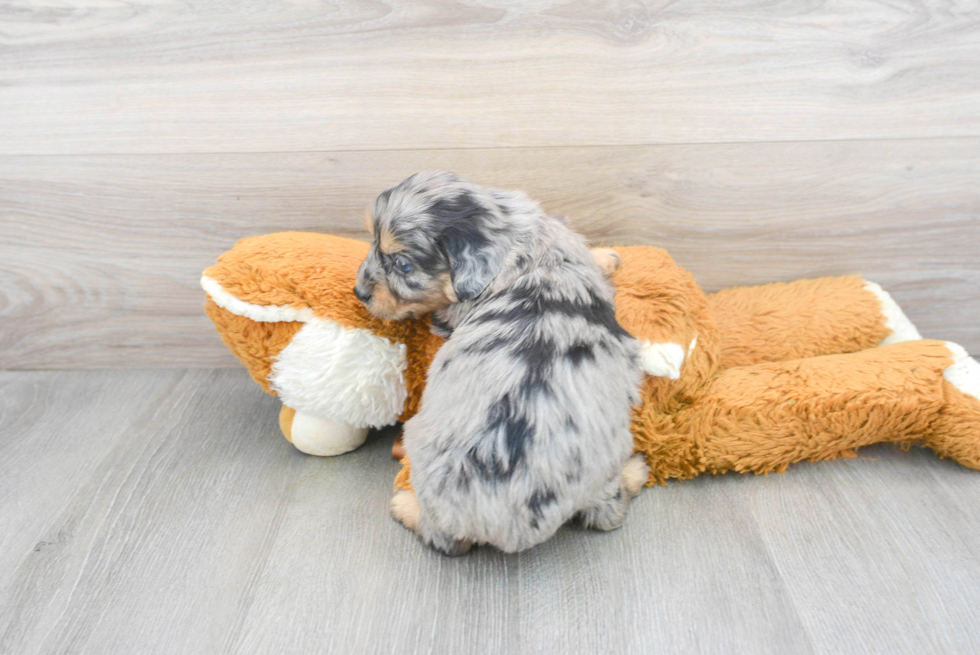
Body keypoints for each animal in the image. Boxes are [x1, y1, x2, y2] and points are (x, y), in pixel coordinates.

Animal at [356, 172, 648, 556]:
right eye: (371, 240)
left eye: (402, 264)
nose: (359, 293)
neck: (515, 236)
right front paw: (605, 256)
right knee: (607, 512)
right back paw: (634, 472)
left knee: (447, 540)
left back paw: (406, 506)